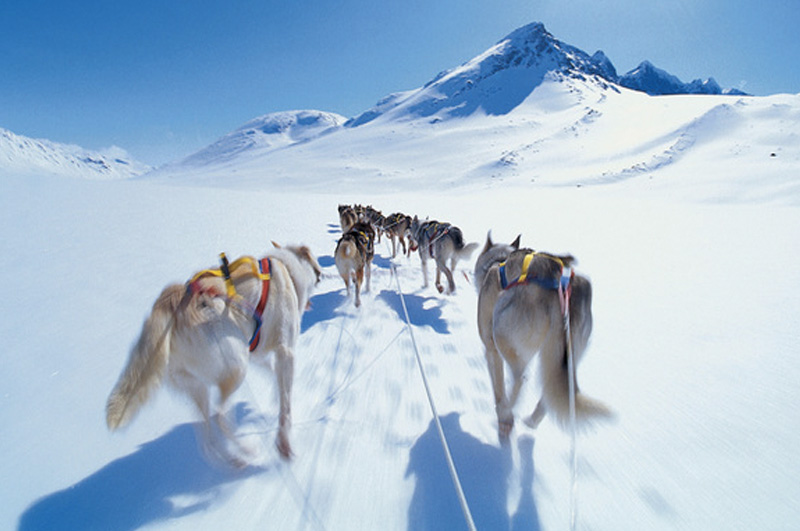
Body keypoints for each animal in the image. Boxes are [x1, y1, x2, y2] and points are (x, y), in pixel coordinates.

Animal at [106, 244, 322, 462]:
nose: (322, 275)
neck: (287, 268)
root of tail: (171, 304)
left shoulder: (257, 352)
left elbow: (273, 375)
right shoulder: (285, 351)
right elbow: (285, 406)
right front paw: (284, 442)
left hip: (199, 387)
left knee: (206, 441)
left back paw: (234, 459)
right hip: (237, 370)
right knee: (220, 416)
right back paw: (247, 450)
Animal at [476, 234, 612, 440]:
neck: (500, 261)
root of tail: (559, 298)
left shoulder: (490, 344)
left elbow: (497, 379)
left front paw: (501, 404)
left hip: (500, 333)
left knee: (520, 377)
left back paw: (505, 413)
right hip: (564, 358)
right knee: (549, 393)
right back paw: (531, 421)